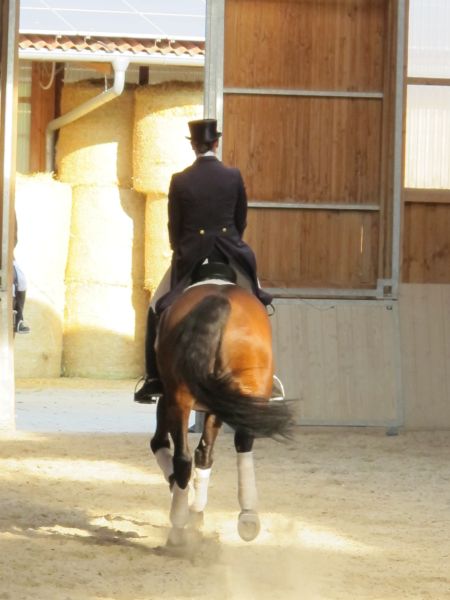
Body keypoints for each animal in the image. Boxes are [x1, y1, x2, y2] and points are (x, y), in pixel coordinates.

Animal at [149, 265, 294, 547]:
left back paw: (178, 527)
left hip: (180, 398)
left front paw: (188, 507)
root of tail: (219, 300)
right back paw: (248, 517)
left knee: (184, 457)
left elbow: (176, 448)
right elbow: (200, 454)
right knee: (243, 442)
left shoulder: (174, 401)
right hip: (244, 391)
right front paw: (193, 511)